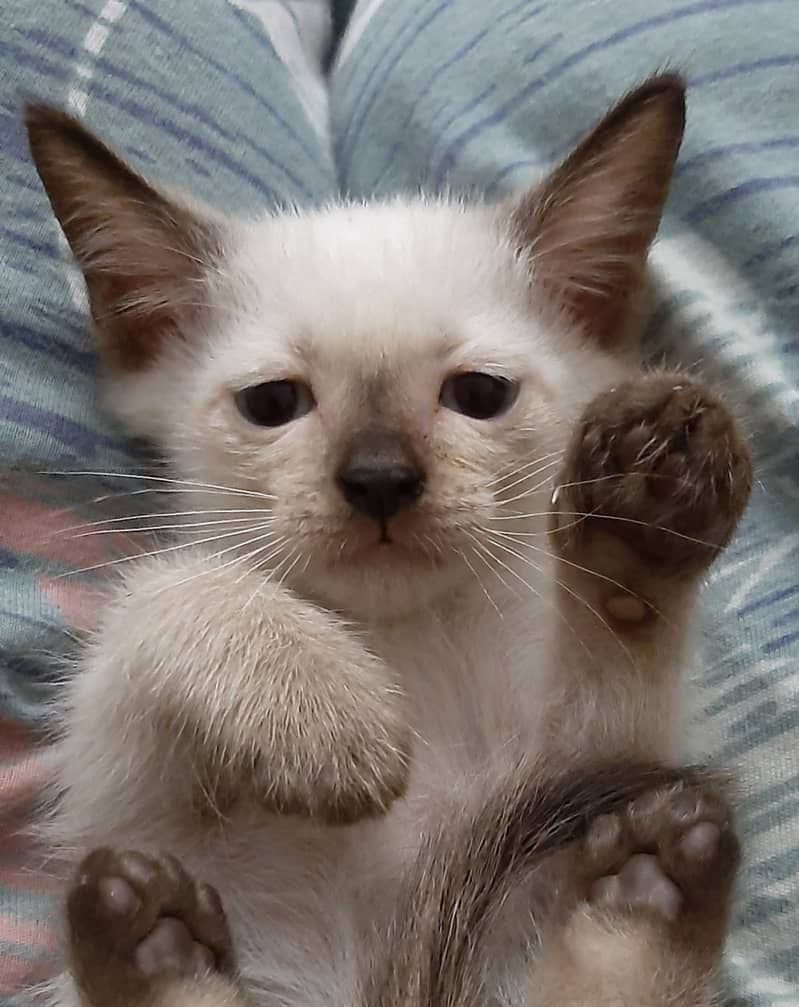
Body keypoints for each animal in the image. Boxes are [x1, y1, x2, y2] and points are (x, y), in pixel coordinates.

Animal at [24, 74, 749, 1007]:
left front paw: (641, 526)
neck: (402, 647)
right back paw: (152, 941)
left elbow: (619, 658)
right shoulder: (120, 804)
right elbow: (166, 588)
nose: (377, 480)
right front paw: (334, 720)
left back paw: (649, 888)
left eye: (478, 395)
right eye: (274, 403)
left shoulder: (586, 764)